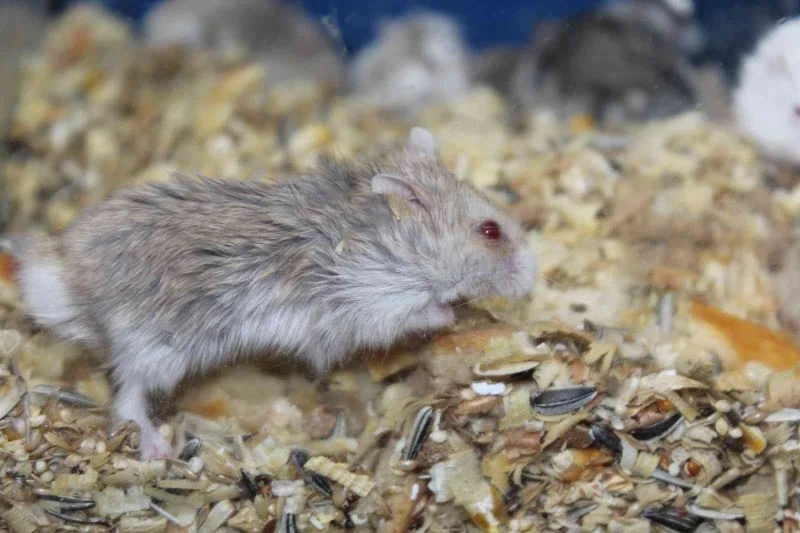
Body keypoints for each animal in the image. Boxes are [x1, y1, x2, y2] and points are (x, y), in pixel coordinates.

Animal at [12, 127, 537, 459]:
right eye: (489, 231)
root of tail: (65, 276)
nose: (535, 276)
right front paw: (452, 315)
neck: (397, 244)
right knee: (127, 399)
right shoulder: (376, 302)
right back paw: (158, 450)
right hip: (154, 350)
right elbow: (424, 313)